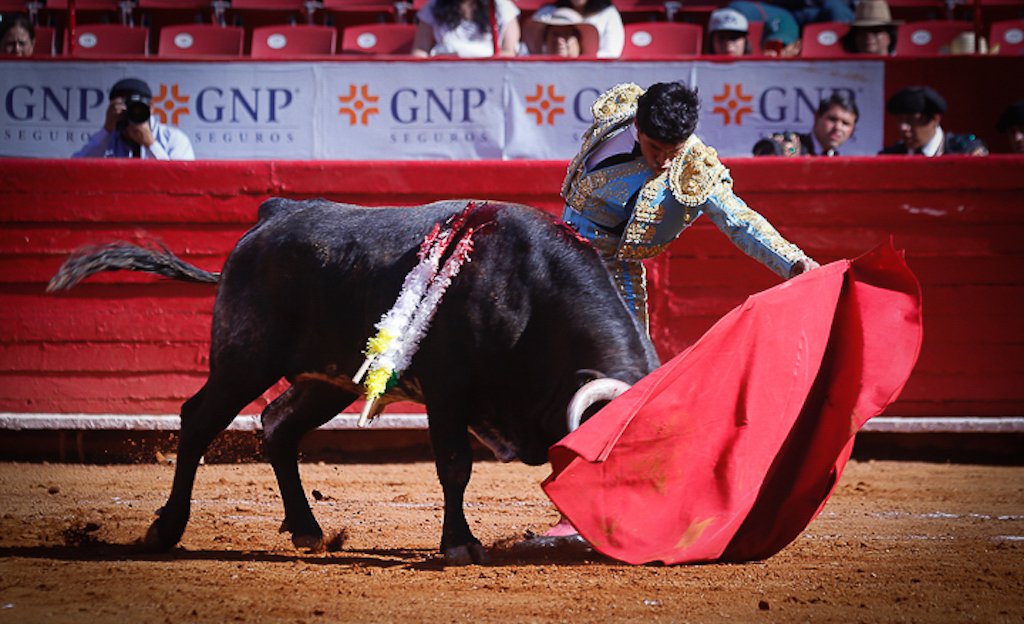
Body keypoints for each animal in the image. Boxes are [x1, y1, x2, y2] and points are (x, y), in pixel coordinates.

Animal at [48, 198, 660, 564]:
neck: (529, 293)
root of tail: (270, 216)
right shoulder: (447, 390)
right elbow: (454, 466)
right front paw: (460, 545)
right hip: (244, 360)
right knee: (198, 420)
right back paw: (167, 531)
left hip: (326, 381)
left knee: (277, 424)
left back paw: (306, 529)